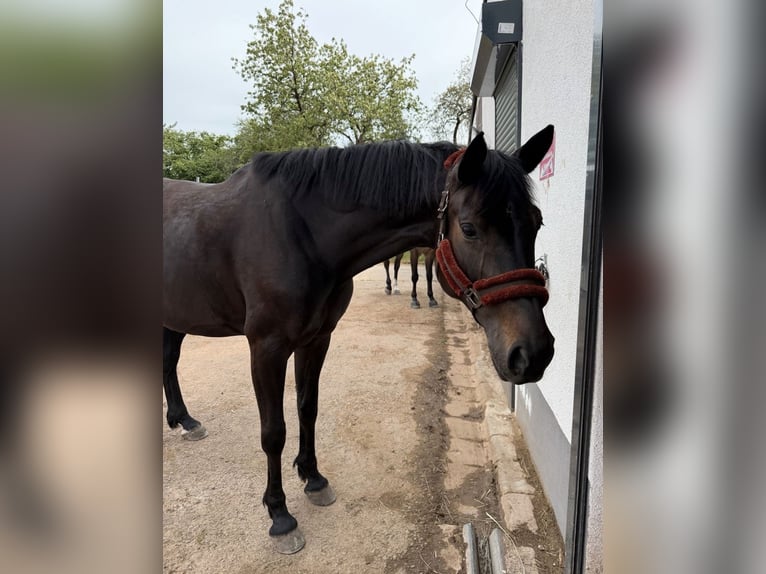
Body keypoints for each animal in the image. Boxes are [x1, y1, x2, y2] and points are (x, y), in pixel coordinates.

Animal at [163, 126, 556, 554]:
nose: (533, 353)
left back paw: (184, 420)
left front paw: (314, 479)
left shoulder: (317, 339)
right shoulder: (267, 347)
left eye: (536, 222)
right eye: (469, 228)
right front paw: (280, 514)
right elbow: (273, 431)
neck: (301, 234)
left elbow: (307, 408)